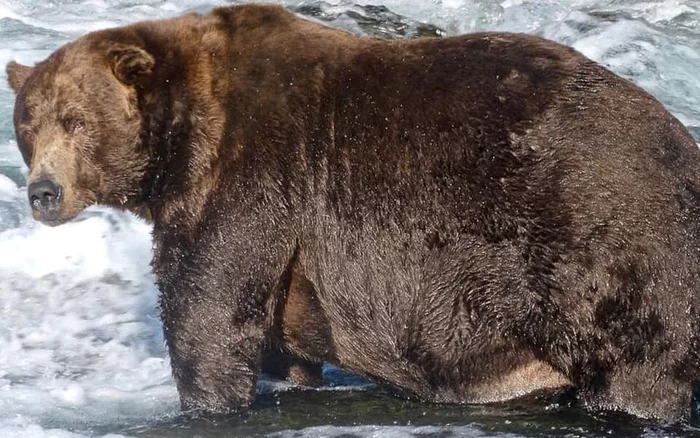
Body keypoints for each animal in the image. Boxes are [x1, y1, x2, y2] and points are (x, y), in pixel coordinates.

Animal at [5, 1, 700, 422]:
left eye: (76, 118)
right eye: (27, 124)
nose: (43, 192)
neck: (178, 145)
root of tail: (681, 140)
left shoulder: (252, 173)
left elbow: (208, 311)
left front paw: (205, 402)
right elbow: (275, 341)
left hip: (603, 245)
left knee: (638, 368)